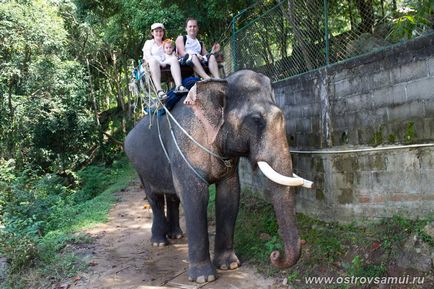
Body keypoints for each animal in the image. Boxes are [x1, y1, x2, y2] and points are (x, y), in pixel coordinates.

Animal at [124, 69, 312, 282]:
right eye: (256, 120)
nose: (275, 255)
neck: (221, 83)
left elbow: (229, 195)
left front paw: (229, 265)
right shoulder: (185, 148)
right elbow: (195, 197)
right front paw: (203, 278)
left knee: (172, 198)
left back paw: (176, 236)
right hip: (138, 166)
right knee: (154, 198)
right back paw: (159, 242)